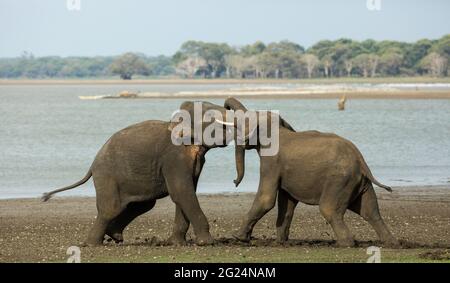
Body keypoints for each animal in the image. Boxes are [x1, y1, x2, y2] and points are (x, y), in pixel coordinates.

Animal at [42, 101, 234, 247]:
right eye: (211, 117)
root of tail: (93, 164)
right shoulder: (173, 158)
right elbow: (181, 192)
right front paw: (207, 243)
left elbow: (186, 192)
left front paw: (176, 243)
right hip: (107, 176)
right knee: (111, 208)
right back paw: (92, 244)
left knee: (142, 204)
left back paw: (115, 235)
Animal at [224, 98, 398, 248]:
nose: (234, 182)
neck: (277, 128)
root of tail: (361, 160)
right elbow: (288, 203)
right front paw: (280, 242)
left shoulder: (271, 163)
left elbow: (266, 199)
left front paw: (238, 237)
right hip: (358, 182)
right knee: (370, 211)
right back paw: (391, 243)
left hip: (339, 181)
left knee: (329, 209)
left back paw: (344, 244)